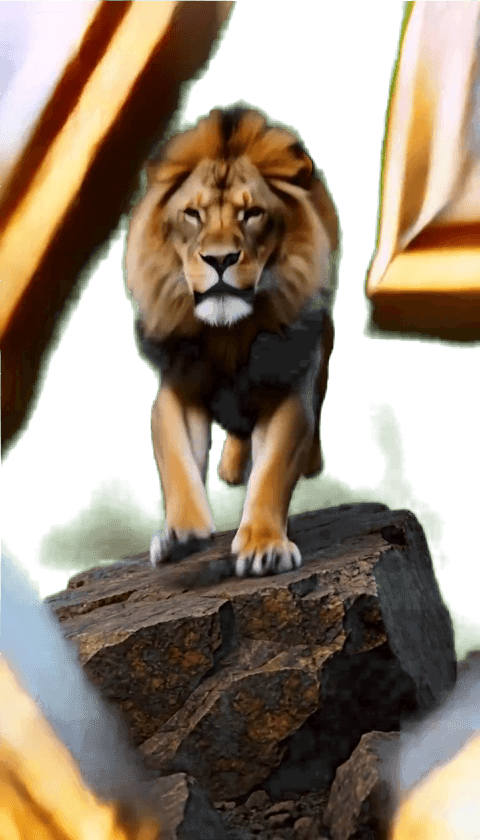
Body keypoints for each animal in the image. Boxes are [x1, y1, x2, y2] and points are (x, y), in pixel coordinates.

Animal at [124, 106, 341, 577]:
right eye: (193, 215)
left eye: (252, 213)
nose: (220, 259)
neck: (229, 334)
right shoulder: (179, 388)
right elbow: (178, 465)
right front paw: (181, 536)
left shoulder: (286, 388)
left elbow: (273, 471)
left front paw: (263, 545)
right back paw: (230, 467)